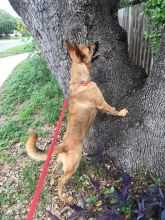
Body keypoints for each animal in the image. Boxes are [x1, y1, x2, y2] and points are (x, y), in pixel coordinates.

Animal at [25, 40, 128, 202]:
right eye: (89, 48)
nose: (97, 42)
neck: (80, 82)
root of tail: (63, 146)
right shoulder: (102, 103)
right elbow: (112, 109)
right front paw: (121, 113)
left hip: (60, 161)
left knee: (53, 171)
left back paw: (52, 181)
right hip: (73, 165)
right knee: (61, 180)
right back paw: (63, 197)